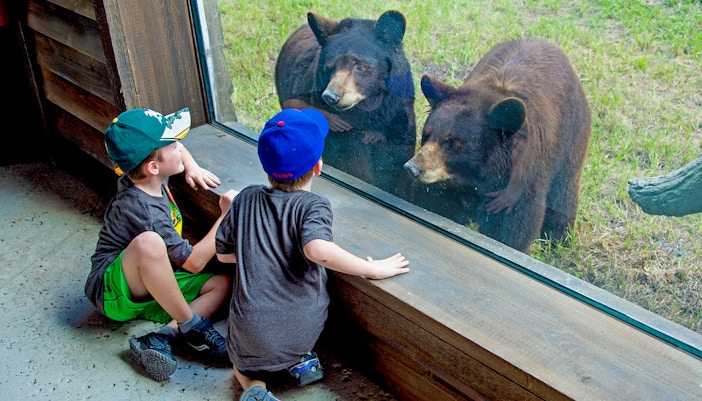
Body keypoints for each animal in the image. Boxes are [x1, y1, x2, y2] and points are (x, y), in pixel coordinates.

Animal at [404, 38, 592, 253]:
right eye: (426, 135)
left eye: (452, 143)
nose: (412, 168)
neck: (473, 181)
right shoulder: (447, 190)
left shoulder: (516, 185)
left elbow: (512, 230)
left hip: (572, 135)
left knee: (565, 189)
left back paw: (559, 239)